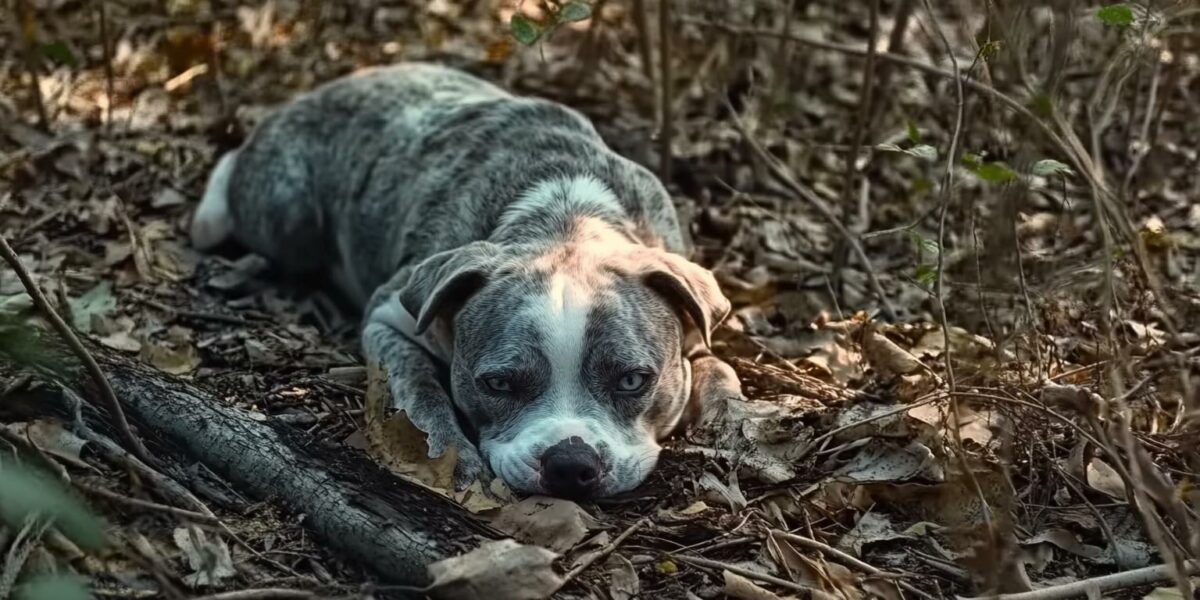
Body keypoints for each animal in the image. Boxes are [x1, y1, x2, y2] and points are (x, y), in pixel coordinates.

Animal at [189, 63, 739, 499]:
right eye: (497, 383)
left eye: (632, 380)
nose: (570, 463)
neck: (568, 220)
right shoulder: (390, 317)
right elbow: (419, 390)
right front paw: (452, 457)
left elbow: (720, 371)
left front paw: (736, 425)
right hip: (287, 212)